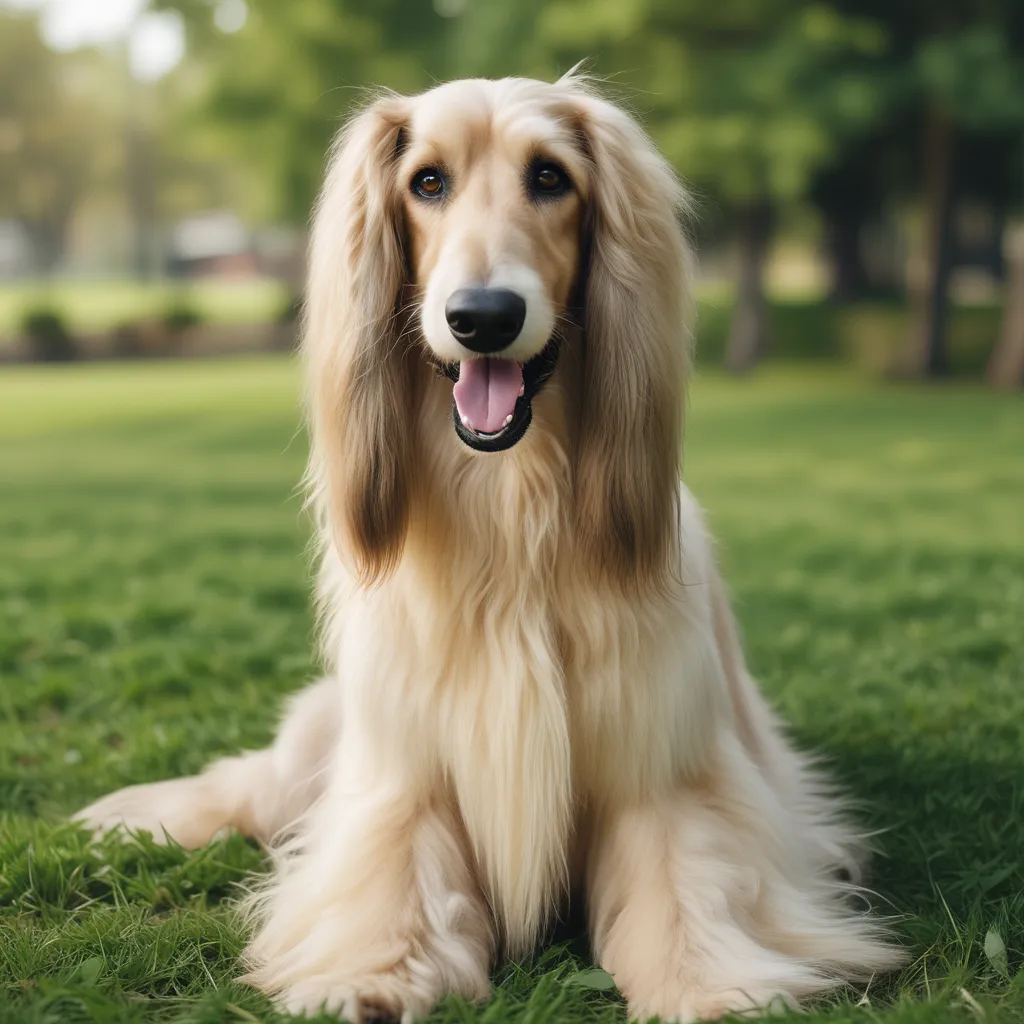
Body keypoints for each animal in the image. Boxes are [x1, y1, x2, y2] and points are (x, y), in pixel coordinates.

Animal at [75, 77, 901, 1024]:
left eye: (550, 177)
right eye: (426, 182)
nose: (482, 318)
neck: (514, 509)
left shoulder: (662, 766)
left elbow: (687, 890)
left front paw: (707, 985)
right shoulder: (407, 768)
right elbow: (391, 879)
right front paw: (370, 975)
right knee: (253, 785)